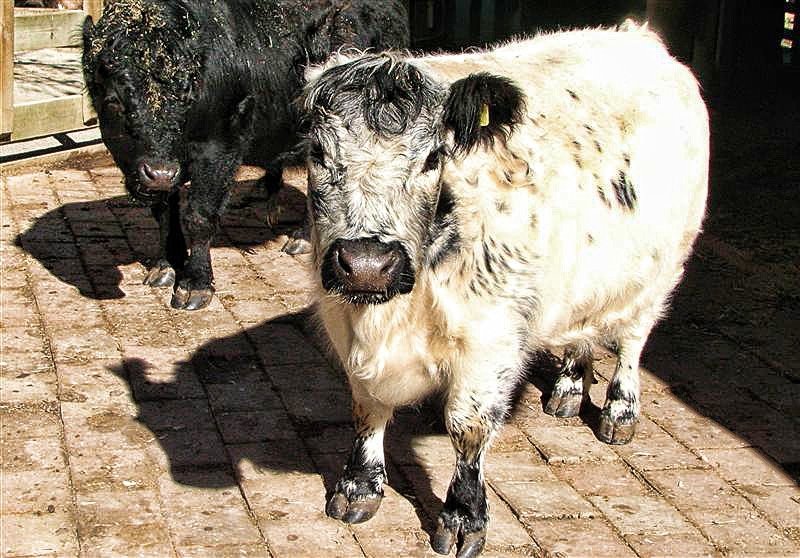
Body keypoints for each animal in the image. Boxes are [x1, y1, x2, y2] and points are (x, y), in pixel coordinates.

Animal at [83, 0, 406, 310]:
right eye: (113, 101)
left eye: (186, 99)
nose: (159, 173)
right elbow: (163, 212)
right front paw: (164, 266)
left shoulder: (218, 148)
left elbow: (199, 216)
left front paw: (195, 286)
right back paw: (303, 238)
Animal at [298, 23, 708, 558]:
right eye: (318, 153)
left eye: (433, 157)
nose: (368, 265)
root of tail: (636, 36)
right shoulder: (342, 320)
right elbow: (366, 406)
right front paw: (358, 487)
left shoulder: (490, 340)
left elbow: (469, 427)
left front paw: (463, 517)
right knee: (581, 333)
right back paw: (568, 389)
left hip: (661, 272)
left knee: (632, 342)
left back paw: (620, 411)